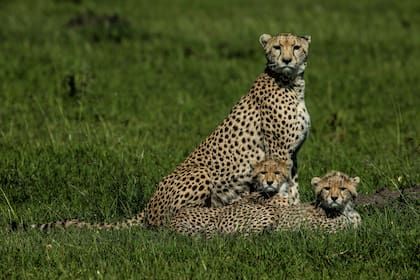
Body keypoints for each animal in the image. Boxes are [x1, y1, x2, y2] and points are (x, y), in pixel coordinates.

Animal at [143, 32, 310, 228]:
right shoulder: (279, 150)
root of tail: (147, 208)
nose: (286, 60)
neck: (292, 84)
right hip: (201, 173)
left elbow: (293, 185)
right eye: (277, 47)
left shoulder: (293, 153)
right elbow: (285, 185)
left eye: (296, 47)